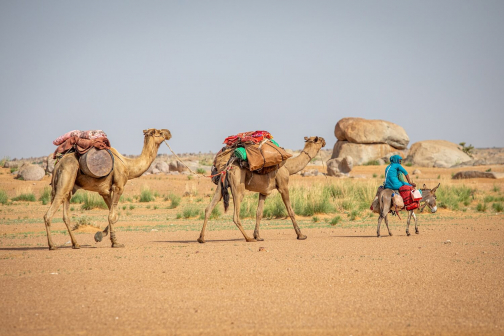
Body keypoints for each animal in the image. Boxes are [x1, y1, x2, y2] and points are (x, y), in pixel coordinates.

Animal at [42, 129, 171, 249]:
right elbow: (112, 215)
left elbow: (114, 215)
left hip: (67, 188)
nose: (168, 133)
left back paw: (76, 244)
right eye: (159, 132)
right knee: (48, 214)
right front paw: (114, 242)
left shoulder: (104, 192)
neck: (128, 165)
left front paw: (100, 236)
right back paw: (52, 245)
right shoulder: (118, 187)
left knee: (66, 216)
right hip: (66, 177)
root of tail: (58, 165)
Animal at [197, 135, 326, 243]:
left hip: (221, 185)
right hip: (237, 185)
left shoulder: (264, 191)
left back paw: (201, 238)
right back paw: (248, 238)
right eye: (318, 139)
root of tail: (229, 164)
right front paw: (301, 235)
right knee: (235, 214)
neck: (289, 167)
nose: (324, 141)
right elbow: (290, 211)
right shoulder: (283, 186)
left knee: (209, 208)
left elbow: (259, 213)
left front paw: (258, 236)